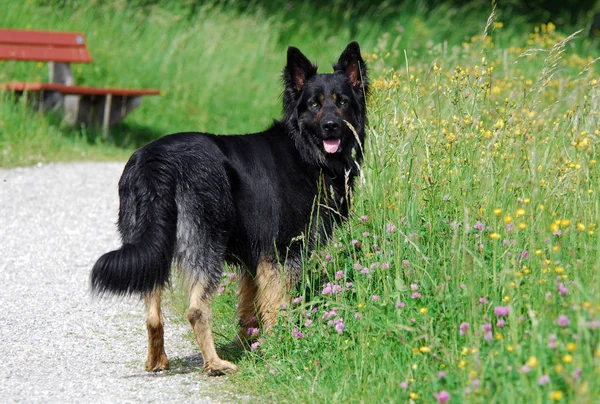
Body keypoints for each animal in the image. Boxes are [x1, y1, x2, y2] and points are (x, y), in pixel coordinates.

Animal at [91, 41, 368, 376]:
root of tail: (157, 160)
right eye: (315, 104)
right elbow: (278, 303)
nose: (330, 126)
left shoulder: (255, 255)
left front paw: (250, 342)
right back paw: (215, 363)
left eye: (342, 102)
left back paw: (158, 360)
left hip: (150, 238)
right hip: (206, 243)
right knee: (196, 309)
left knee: (153, 310)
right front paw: (282, 342)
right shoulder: (282, 251)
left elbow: (250, 303)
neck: (303, 149)